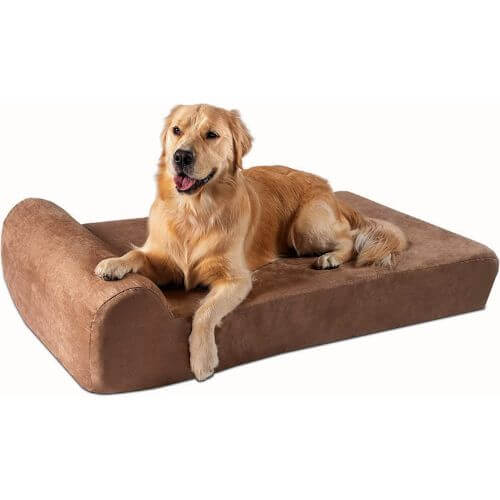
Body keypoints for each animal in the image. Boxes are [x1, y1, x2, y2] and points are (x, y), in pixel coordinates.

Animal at [95, 104, 408, 381]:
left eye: (211, 134)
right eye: (176, 130)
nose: (181, 156)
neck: (195, 212)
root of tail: (329, 189)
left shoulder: (236, 279)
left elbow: (204, 312)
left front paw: (203, 359)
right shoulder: (165, 261)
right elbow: (137, 254)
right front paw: (112, 264)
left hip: (306, 227)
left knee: (349, 238)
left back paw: (330, 258)